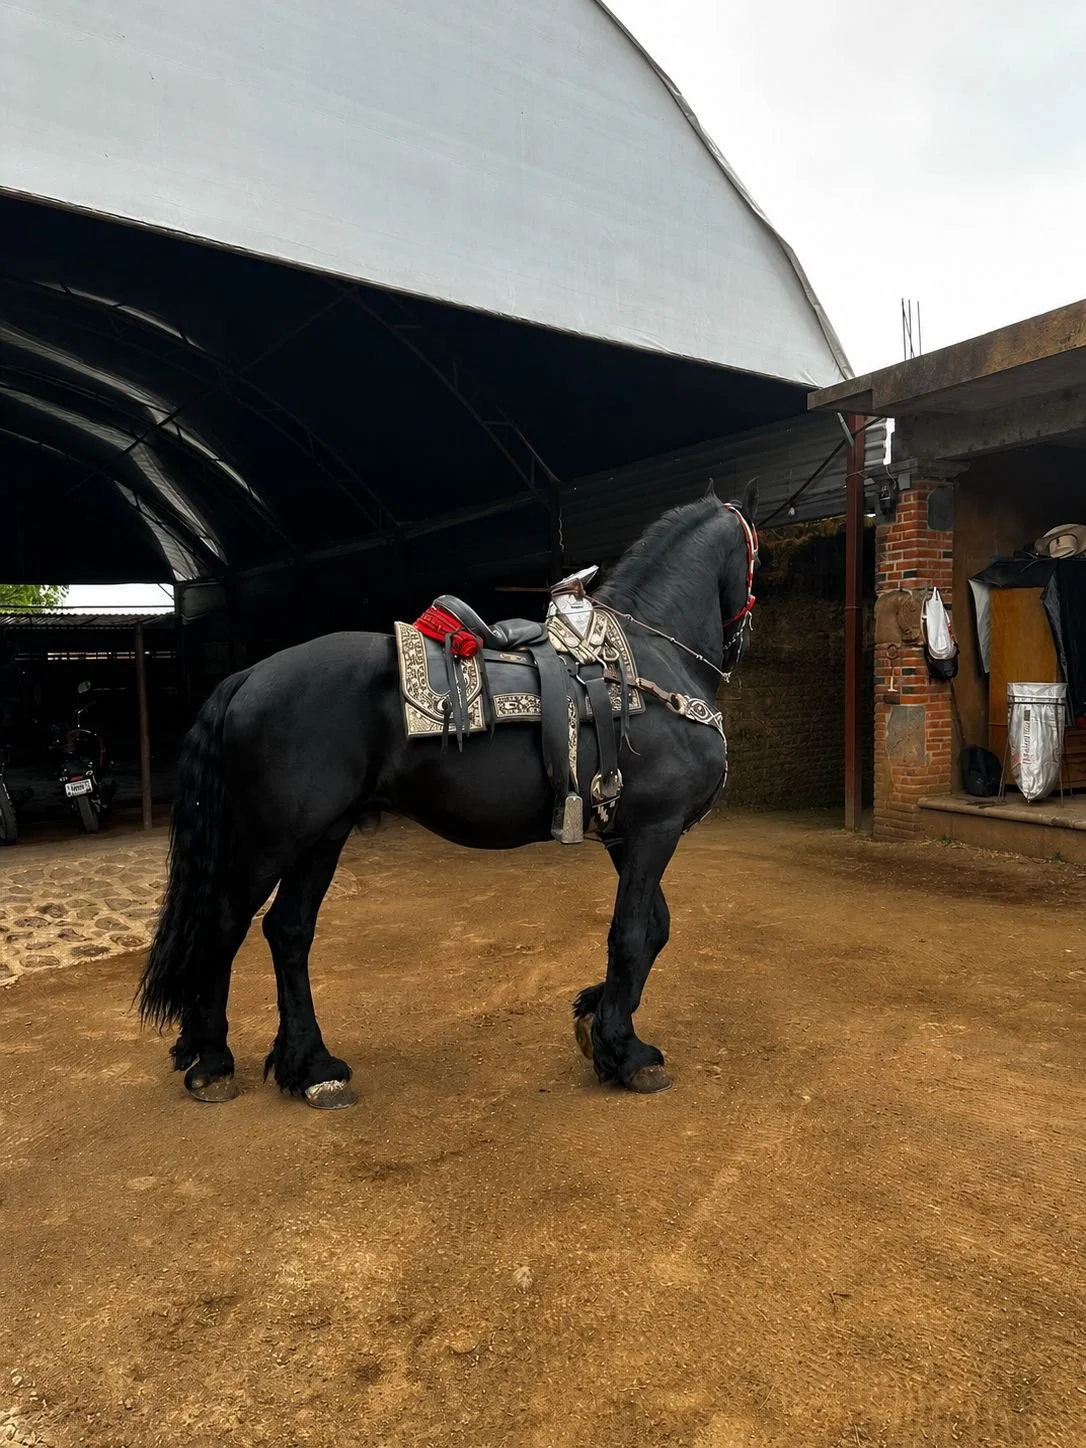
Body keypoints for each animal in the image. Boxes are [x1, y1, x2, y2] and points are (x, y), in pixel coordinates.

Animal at [138, 485, 758, 1109]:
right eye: (756, 556)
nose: (739, 643)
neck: (649, 658)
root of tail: (248, 676)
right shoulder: (654, 827)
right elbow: (630, 934)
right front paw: (626, 1052)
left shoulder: (625, 832)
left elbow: (653, 927)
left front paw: (593, 1017)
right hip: (274, 840)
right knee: (225, 925)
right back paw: (214, 1061)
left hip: (322, 836)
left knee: (287, 931)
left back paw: (311, 1067)